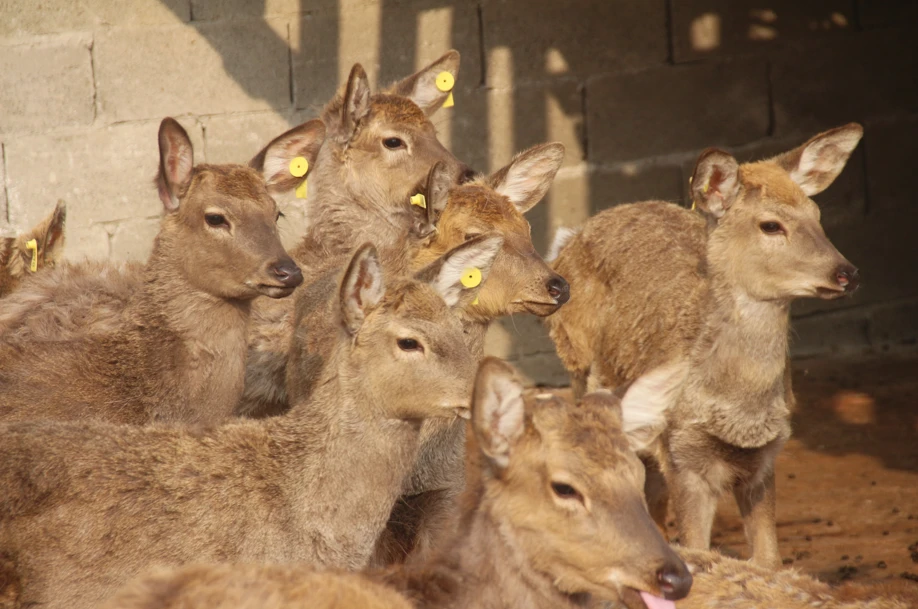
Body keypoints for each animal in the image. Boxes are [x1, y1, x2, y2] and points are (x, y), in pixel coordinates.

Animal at [548, 121, 868, 568]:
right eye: (771, 225)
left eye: (818, 216)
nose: (846, 273)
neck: (738, 412)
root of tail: (573, 238)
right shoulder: (684, 455)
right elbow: (697, 547)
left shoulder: (765, 459)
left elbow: (769, 561)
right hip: (577, 363)